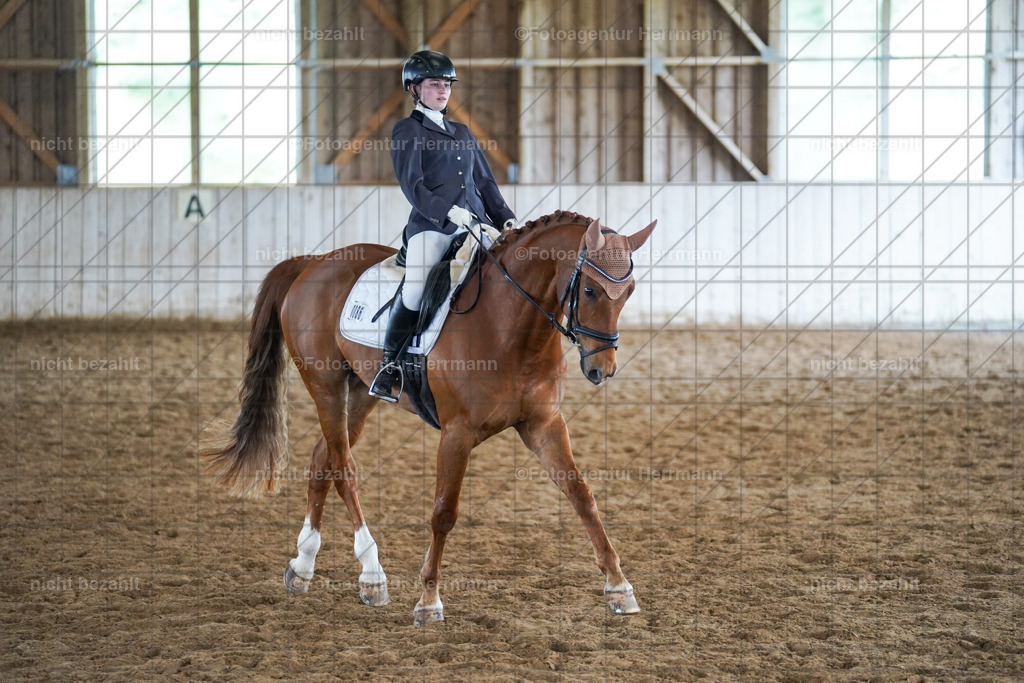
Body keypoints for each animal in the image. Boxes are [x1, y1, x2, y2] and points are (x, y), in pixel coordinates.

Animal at [201, 210, 657, 626]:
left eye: (629, 291)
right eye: (592, 290)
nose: (602, 370)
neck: (509, 324)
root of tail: (313, 261)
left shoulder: (543, 425)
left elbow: (582, 496)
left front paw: (619, 587)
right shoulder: (457, 433)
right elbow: (443, 513)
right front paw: (428, 602)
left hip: (359, 393)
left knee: (321, 460)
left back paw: (303, 565)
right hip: (326, 386)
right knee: (344, 469)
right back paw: (372, 576)